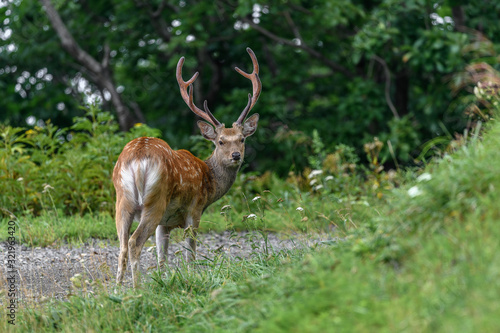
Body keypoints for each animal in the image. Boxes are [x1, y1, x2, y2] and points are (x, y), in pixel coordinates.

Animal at [112, 48, 262, 286]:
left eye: (242, 139)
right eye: (220, 141)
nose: (236, 155)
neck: (209, 181)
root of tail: (137, 156)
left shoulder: (164, 224)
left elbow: (162, 258)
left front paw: (163, 282)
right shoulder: (195, 209)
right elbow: (189, 254)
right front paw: (191, 278)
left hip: (122, 200)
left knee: (122, 245)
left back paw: (118, 289)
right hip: (154, 200)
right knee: (134, 242)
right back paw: (137, 288)